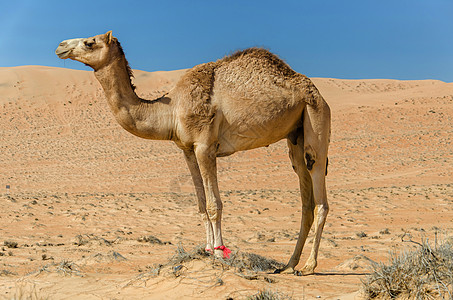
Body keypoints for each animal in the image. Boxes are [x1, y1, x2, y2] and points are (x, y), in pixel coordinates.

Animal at [56, 31, 330, 276]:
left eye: (90, 42)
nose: (60, 46)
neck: (171, 109)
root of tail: (317, 92)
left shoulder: (205, 145)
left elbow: (213, 204)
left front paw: (220, 254)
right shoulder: (187, 149)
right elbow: (200, 204)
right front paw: (206, 251)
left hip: (315, 117)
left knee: (319, 193)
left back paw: (308, 266)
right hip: (295, 135)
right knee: (305, 198)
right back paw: (288, 265)